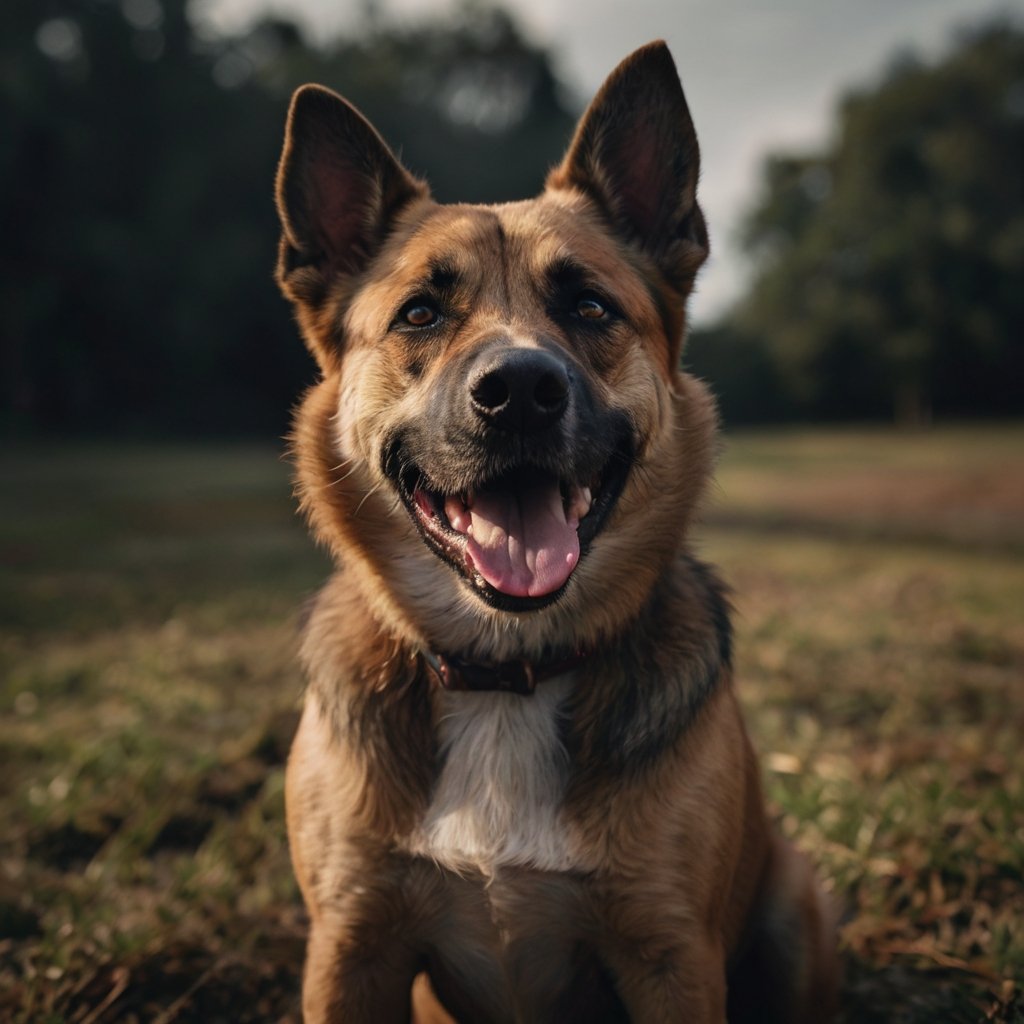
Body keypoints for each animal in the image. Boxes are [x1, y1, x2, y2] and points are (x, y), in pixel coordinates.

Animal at [274, 39, 839, 1024]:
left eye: (590, 307)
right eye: (420, 312)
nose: (519, 392)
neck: (508, 673)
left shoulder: (672, 957)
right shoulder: (350, 951)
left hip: (794, 902)